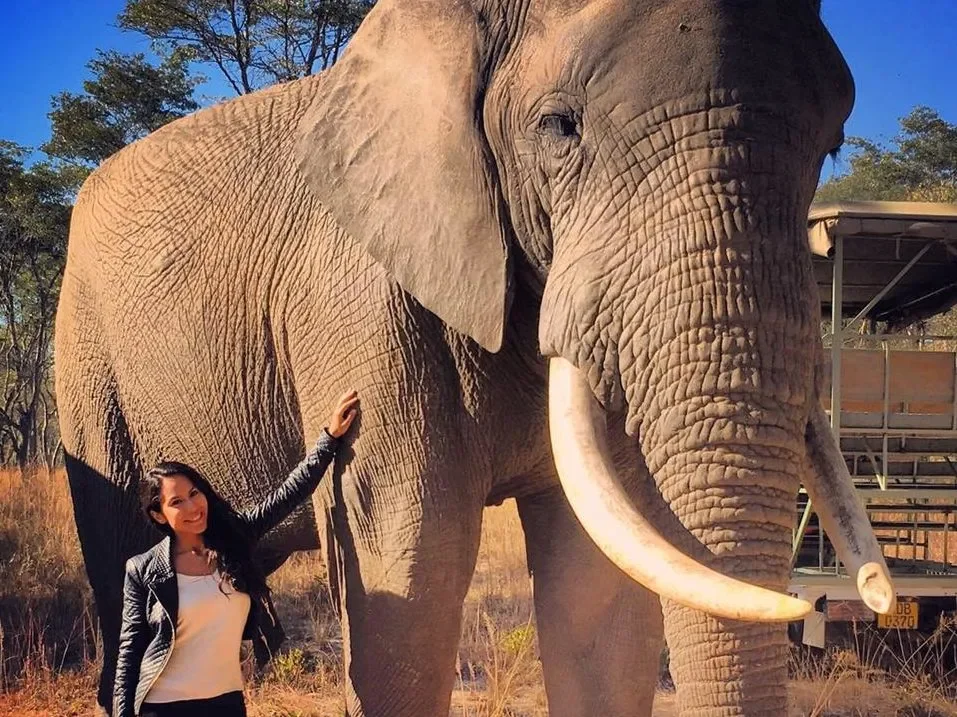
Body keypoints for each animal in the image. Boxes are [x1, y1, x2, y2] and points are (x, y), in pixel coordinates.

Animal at [54, 0, 897, 714]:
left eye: (831, 143)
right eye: (559, 126)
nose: (816, 601)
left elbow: (596, 591)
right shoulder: (359, 303)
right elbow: (410, 568)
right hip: (87, 356)